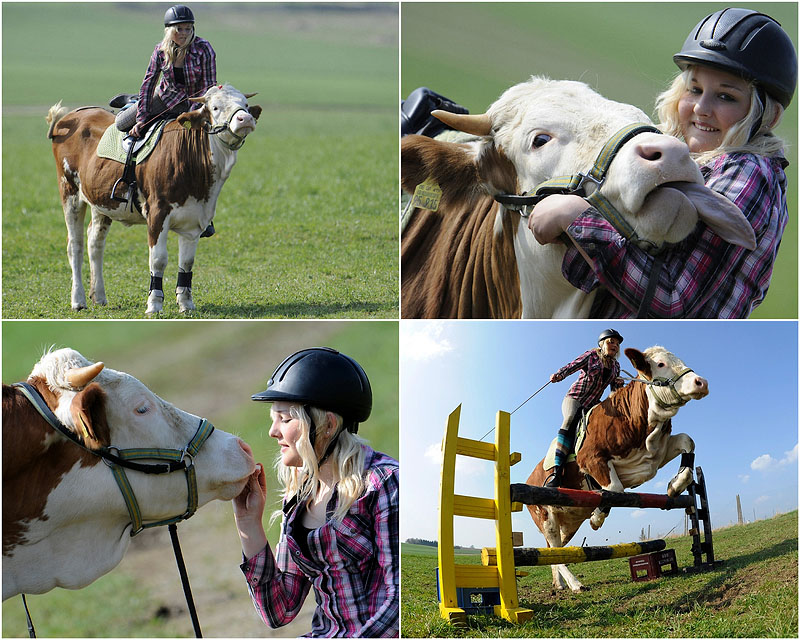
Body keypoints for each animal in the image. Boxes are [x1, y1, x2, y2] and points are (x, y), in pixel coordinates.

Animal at [46, 83, 261, 315]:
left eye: (245, 104)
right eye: (215, 107)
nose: (245, 119)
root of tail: (70, 117)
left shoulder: (195, 219)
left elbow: (187, 263)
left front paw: (186, 304)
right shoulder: (157, 214)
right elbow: (158, 260)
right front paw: (154, 304)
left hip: (101, 201)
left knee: (95, 242)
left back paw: (99, 296)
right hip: (69, 191)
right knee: (75, 245)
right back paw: (78, 300)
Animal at [524, 345, 708, 592]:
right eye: (660, 364)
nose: (701, 382)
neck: (633, 418)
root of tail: (529, 478)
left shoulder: (653, 455)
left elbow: (687, 441)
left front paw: (675, 485)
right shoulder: (591, 460)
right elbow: (614, 489)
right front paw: (596, 518)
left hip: (568, 522)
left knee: (555, 550)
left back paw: (559, 584)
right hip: (546, 516)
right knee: (555, 550)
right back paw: (575, 584)